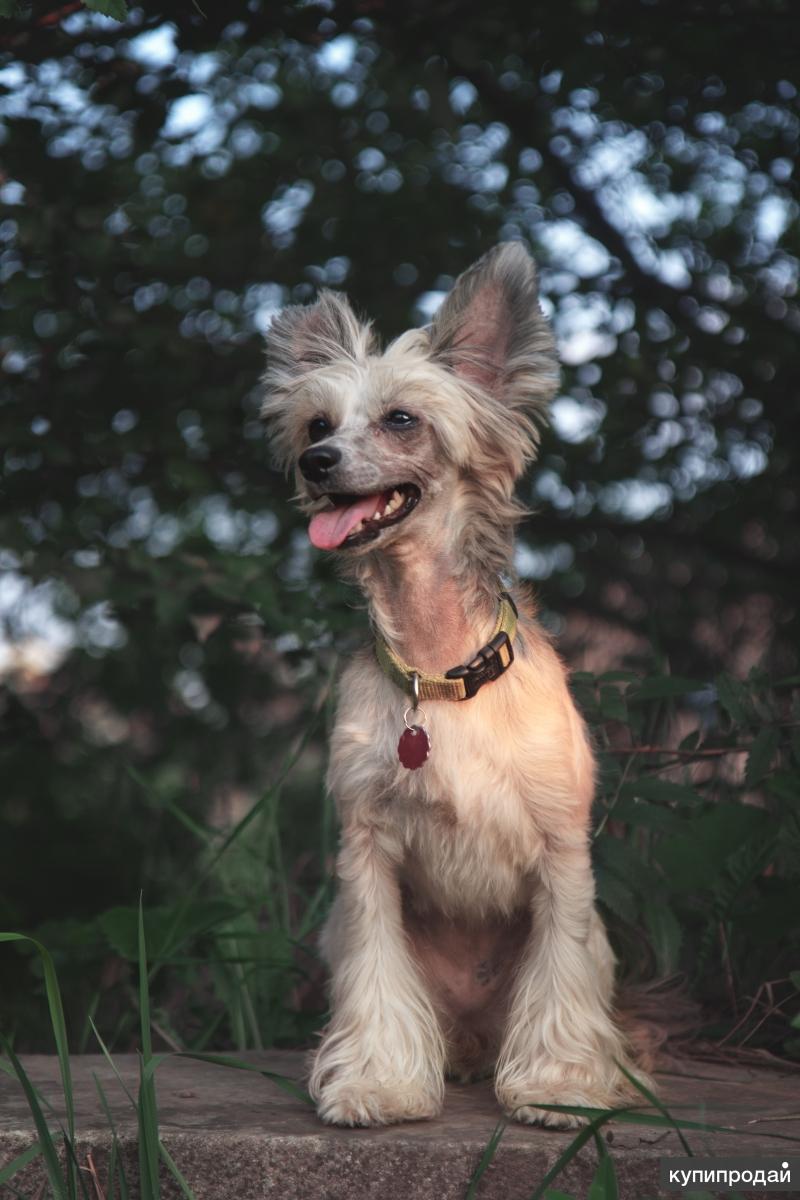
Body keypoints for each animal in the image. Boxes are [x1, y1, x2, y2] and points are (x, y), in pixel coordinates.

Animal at [263, 241, 652, 1123]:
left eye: (402, 419)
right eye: (317, 424)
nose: (317, 461)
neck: (438, 674)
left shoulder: (562, 857)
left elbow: (561, 981)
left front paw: (560, 1084)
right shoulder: (366, 860)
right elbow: (376, 981)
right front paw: (378, 1080)